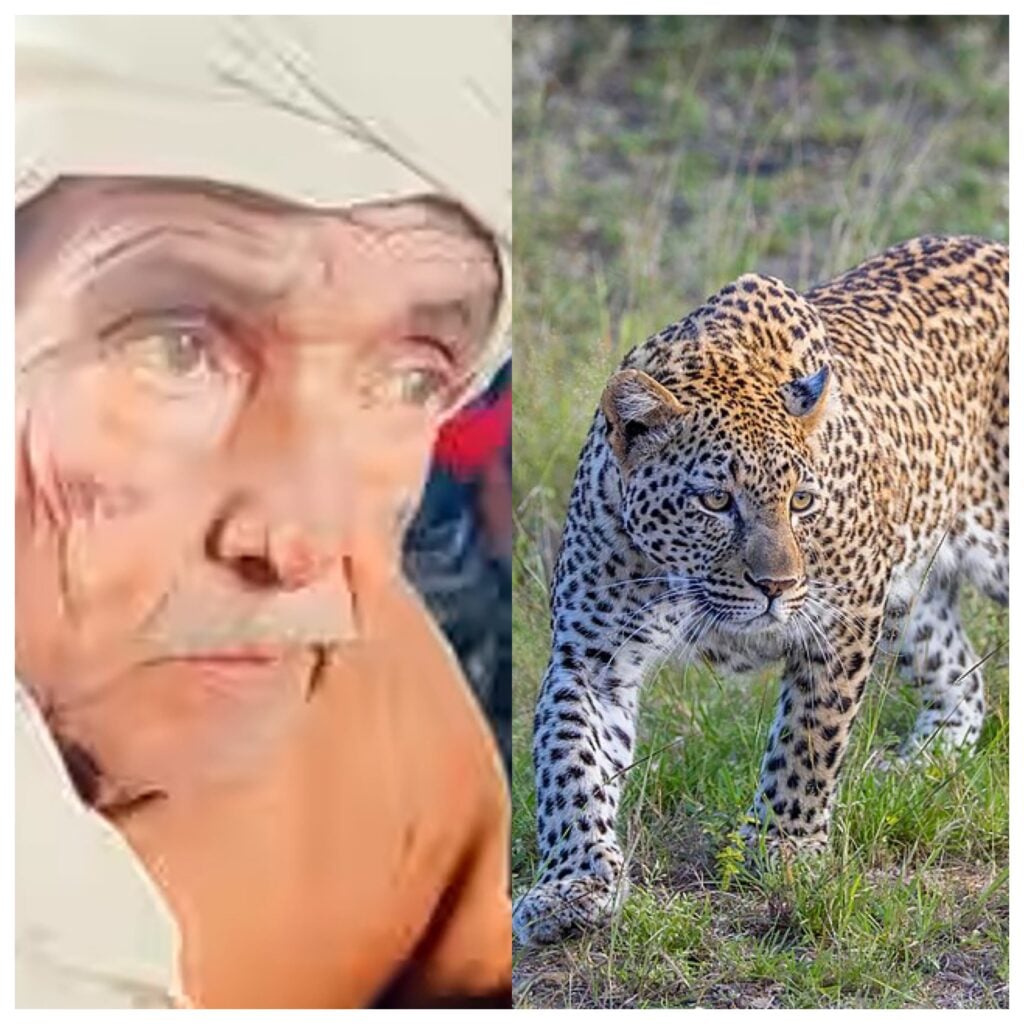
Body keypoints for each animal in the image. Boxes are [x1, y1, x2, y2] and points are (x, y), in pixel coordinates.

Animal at [512, 235, 1008, 945]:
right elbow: (569, 763)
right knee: (963, 683)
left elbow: (809, 736)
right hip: (908, 599)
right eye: (716, 500)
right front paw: (573, 883)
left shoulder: (842, 618)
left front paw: (785, 847)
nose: (777, 585)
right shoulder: (591, 656)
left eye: (801, 501)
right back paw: (920, 764)